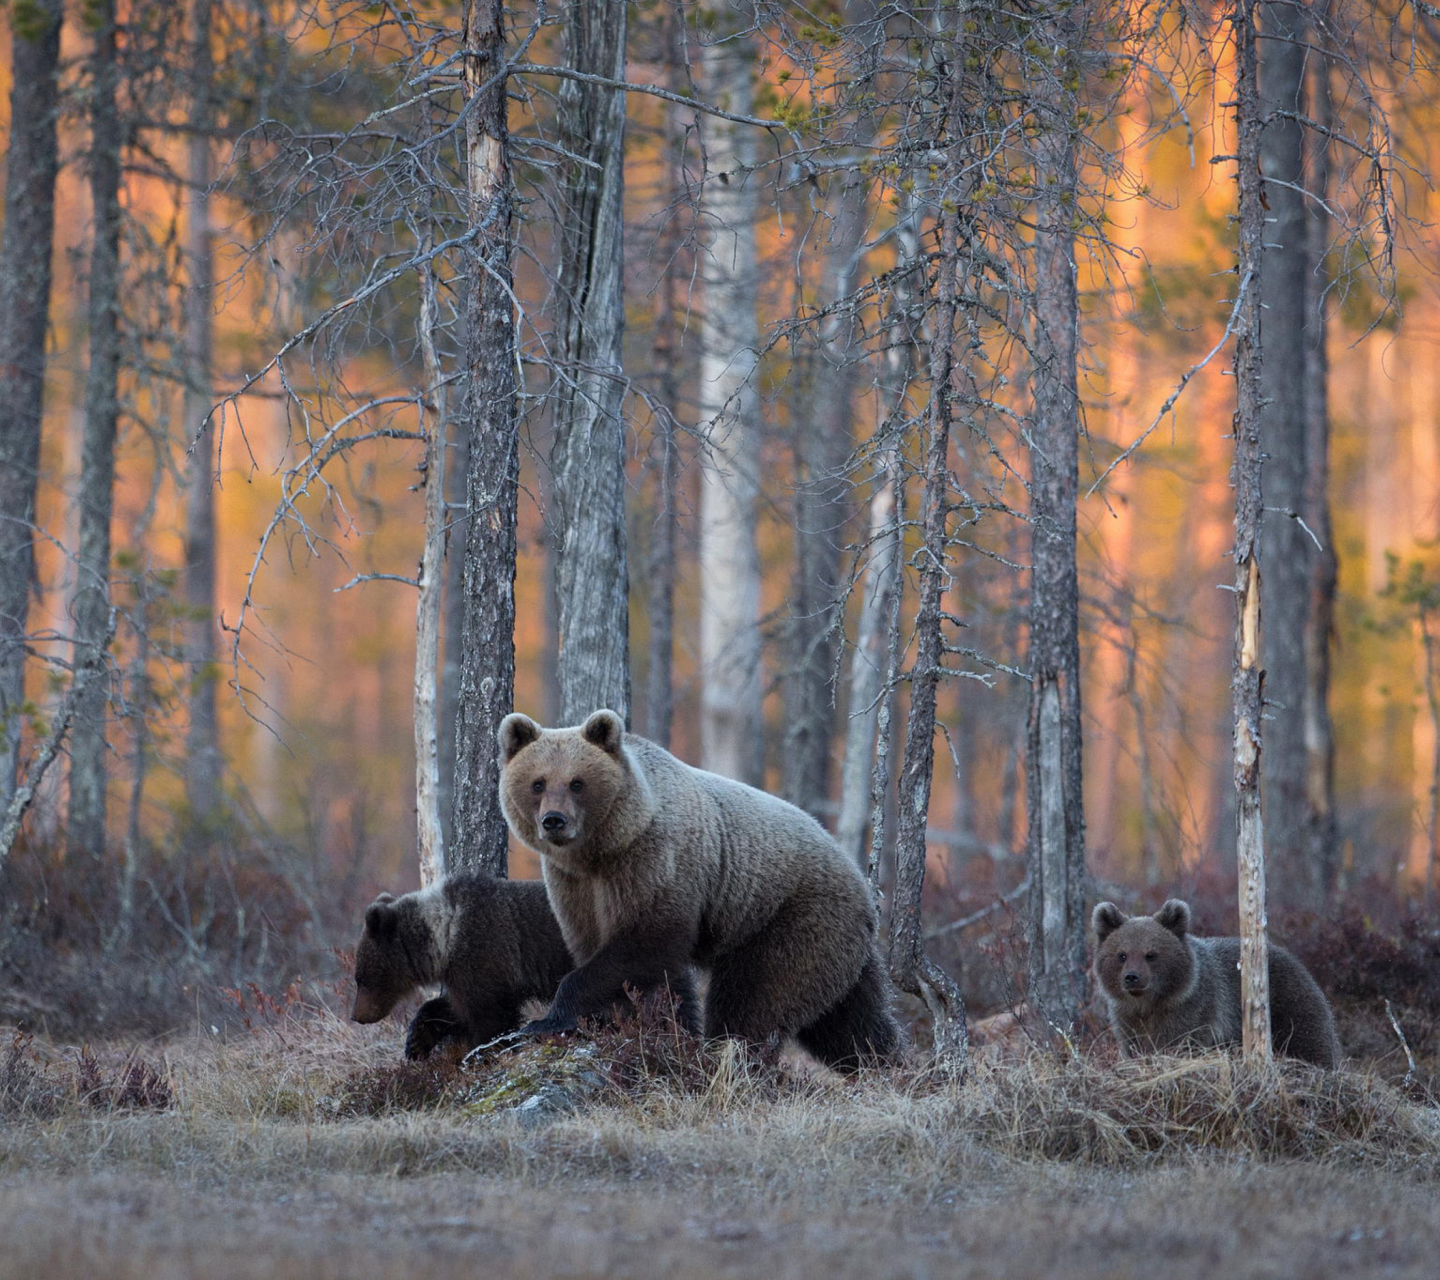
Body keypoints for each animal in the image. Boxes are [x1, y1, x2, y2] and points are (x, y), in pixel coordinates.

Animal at [351, 869, 570, 1059]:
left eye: (361, 979)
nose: (355, 1016)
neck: (445, 937)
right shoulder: (462, 972)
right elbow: (453, 1008)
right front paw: (416, 1042)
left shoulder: (483, 952)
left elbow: (489, 1017)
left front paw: (486, 1051)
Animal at [495, 708, 898, 1071]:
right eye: (538, 783)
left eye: (577, 782)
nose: (554, 821)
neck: (602, 850)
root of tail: (860, 880)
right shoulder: (575, 886)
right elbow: (624, 962)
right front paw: (645, 1027)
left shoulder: (655, 863)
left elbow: (642, 945)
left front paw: (547, 1020)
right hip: (838, 947)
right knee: (850, 1019)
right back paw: (885, 1066)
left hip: (791, 919)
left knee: (756, 999)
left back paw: (731, 1058)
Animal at [1094, 892, 1342, 1065]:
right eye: (1122, 955)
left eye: (1151, 954)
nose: (1132, 977)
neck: (1151, 1003)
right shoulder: (1126, 1017)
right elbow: (1133, 1045)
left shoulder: (1193, 1010)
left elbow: (1178, 1041)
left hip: (1292, 1005)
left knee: (1310, 1041)